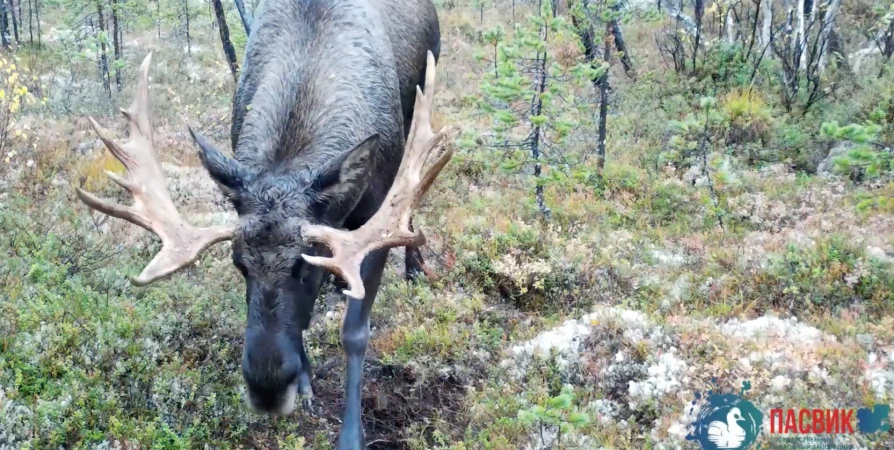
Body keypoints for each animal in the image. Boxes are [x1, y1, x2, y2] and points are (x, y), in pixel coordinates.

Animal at [76, 0, 452, 444]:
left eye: (305, 267)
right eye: (239, 265)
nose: (267, 388)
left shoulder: (374, 218)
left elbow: (356, 333)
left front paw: (351, 436)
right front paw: (304, 381)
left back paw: (415, 266)